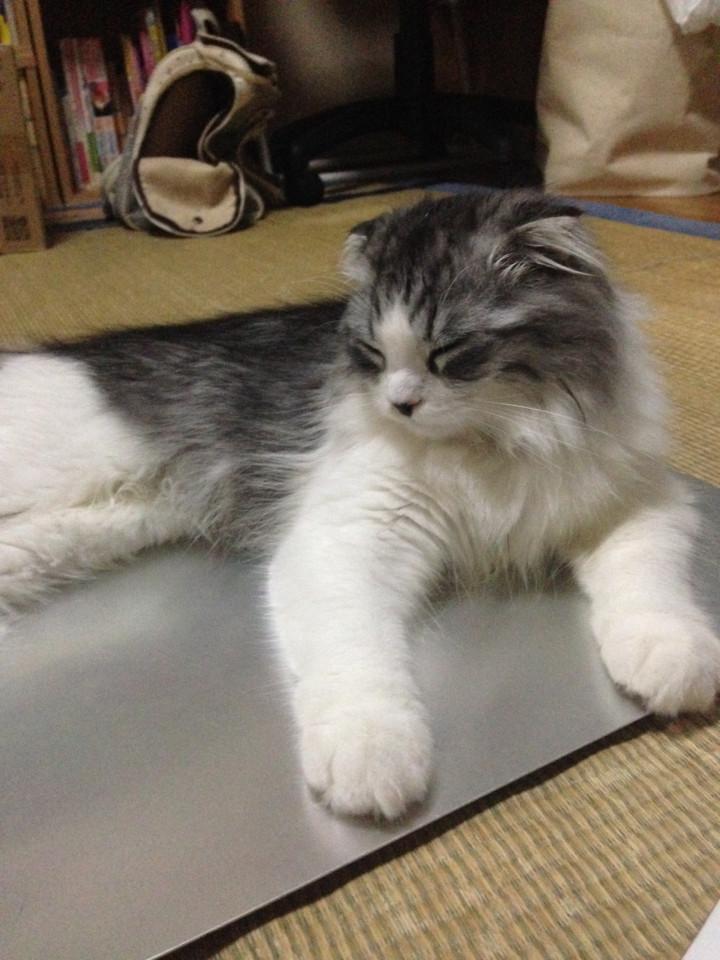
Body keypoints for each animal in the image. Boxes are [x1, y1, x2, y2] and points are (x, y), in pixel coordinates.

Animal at [1, 191, 718, 820]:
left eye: (450, 353)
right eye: (373, 354)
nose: (400, 404)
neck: (494, 442)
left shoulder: (638, 503)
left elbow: (649, 591)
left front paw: (672, 661)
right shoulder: (347, 538)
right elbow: (359, 664)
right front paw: (372, 757)